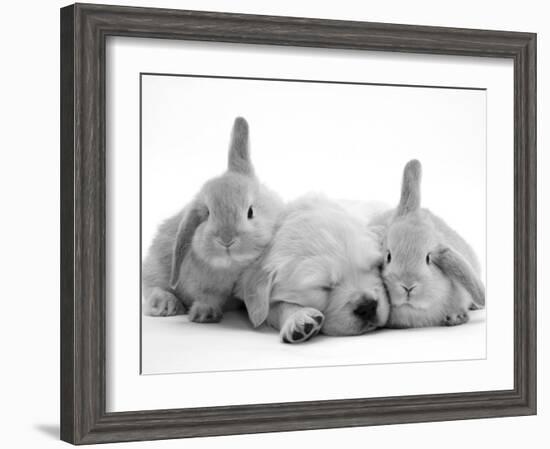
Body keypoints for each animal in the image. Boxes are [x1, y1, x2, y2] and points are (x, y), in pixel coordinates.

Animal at [142, 116, 284, 322]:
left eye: (250, 212)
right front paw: (204, 314)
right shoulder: (203, 286)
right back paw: (165, 305)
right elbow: (207, 297)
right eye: (208, 213)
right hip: (155, 265)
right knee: (153, 287)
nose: (226, 240)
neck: (231, 267)